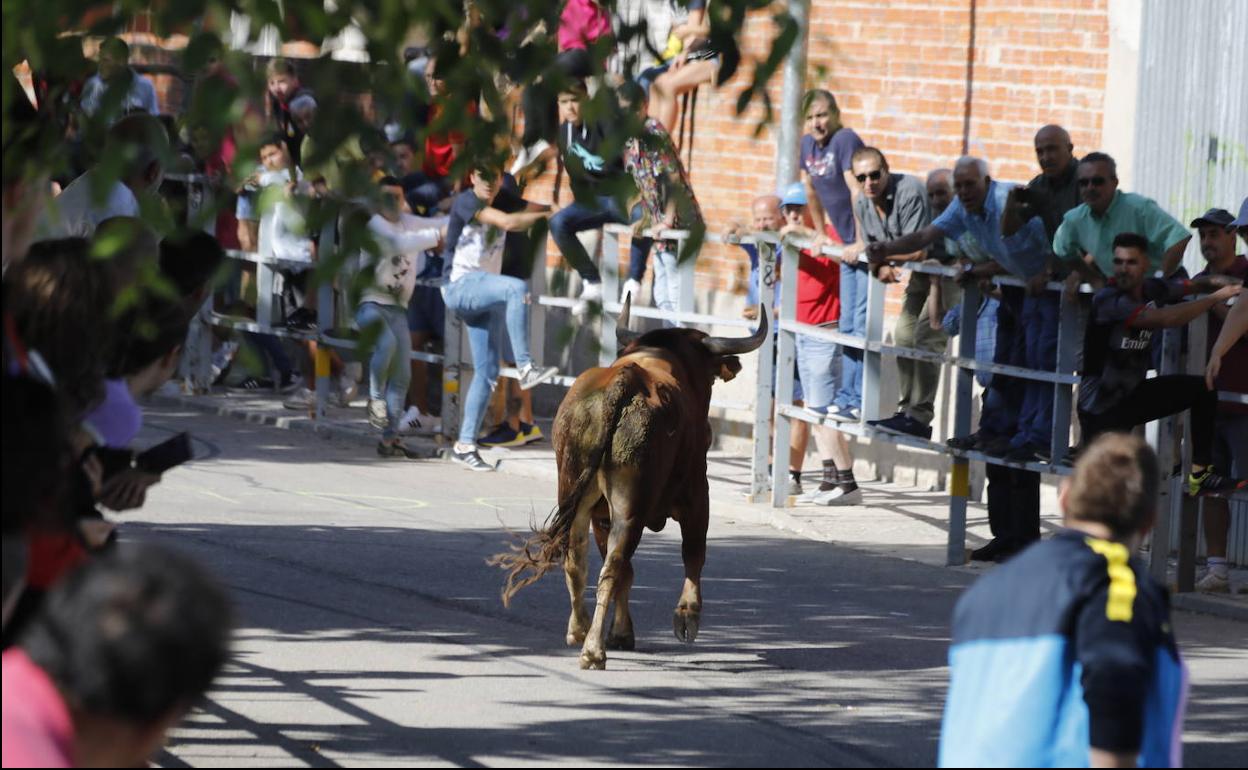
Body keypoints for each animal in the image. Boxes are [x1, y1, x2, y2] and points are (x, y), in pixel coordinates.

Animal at [489, 294, 763, 668]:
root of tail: (623, 383)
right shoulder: (697, 494)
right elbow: (693, 554)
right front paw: (686, 617)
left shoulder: (601, 514)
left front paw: (621, 632)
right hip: (629, 506)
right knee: (614, 566)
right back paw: (593, 650)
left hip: (575, 493)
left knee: (579, 560)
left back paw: (579, 630)